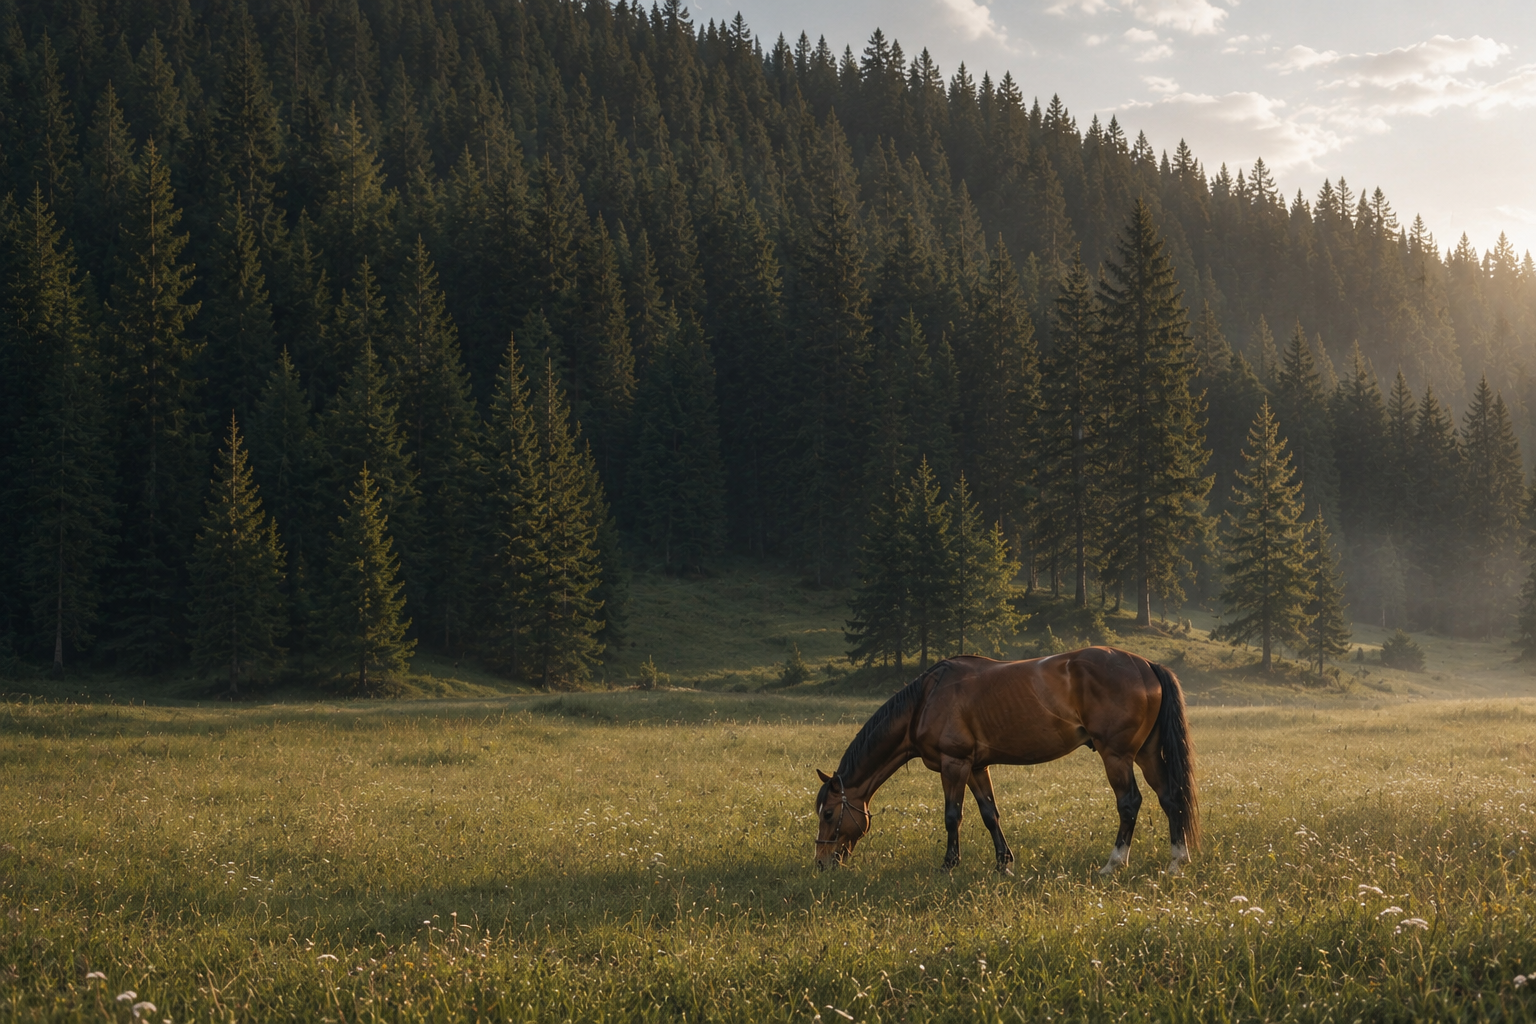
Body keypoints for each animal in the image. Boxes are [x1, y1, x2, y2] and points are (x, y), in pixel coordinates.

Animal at [813, 647, 1199, 876]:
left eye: (829, 814)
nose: (821, 863)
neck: (926, 698)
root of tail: (1146, 665)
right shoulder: (975, 767)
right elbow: (990, 814)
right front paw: (1004, 863)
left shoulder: (954, 765)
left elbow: (952, 817)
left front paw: (949, 865)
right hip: (1146, 753)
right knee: (1170, 798)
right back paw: (1177, 861)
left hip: (1116, 755)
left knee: (1129, 802)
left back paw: (1114, 863)